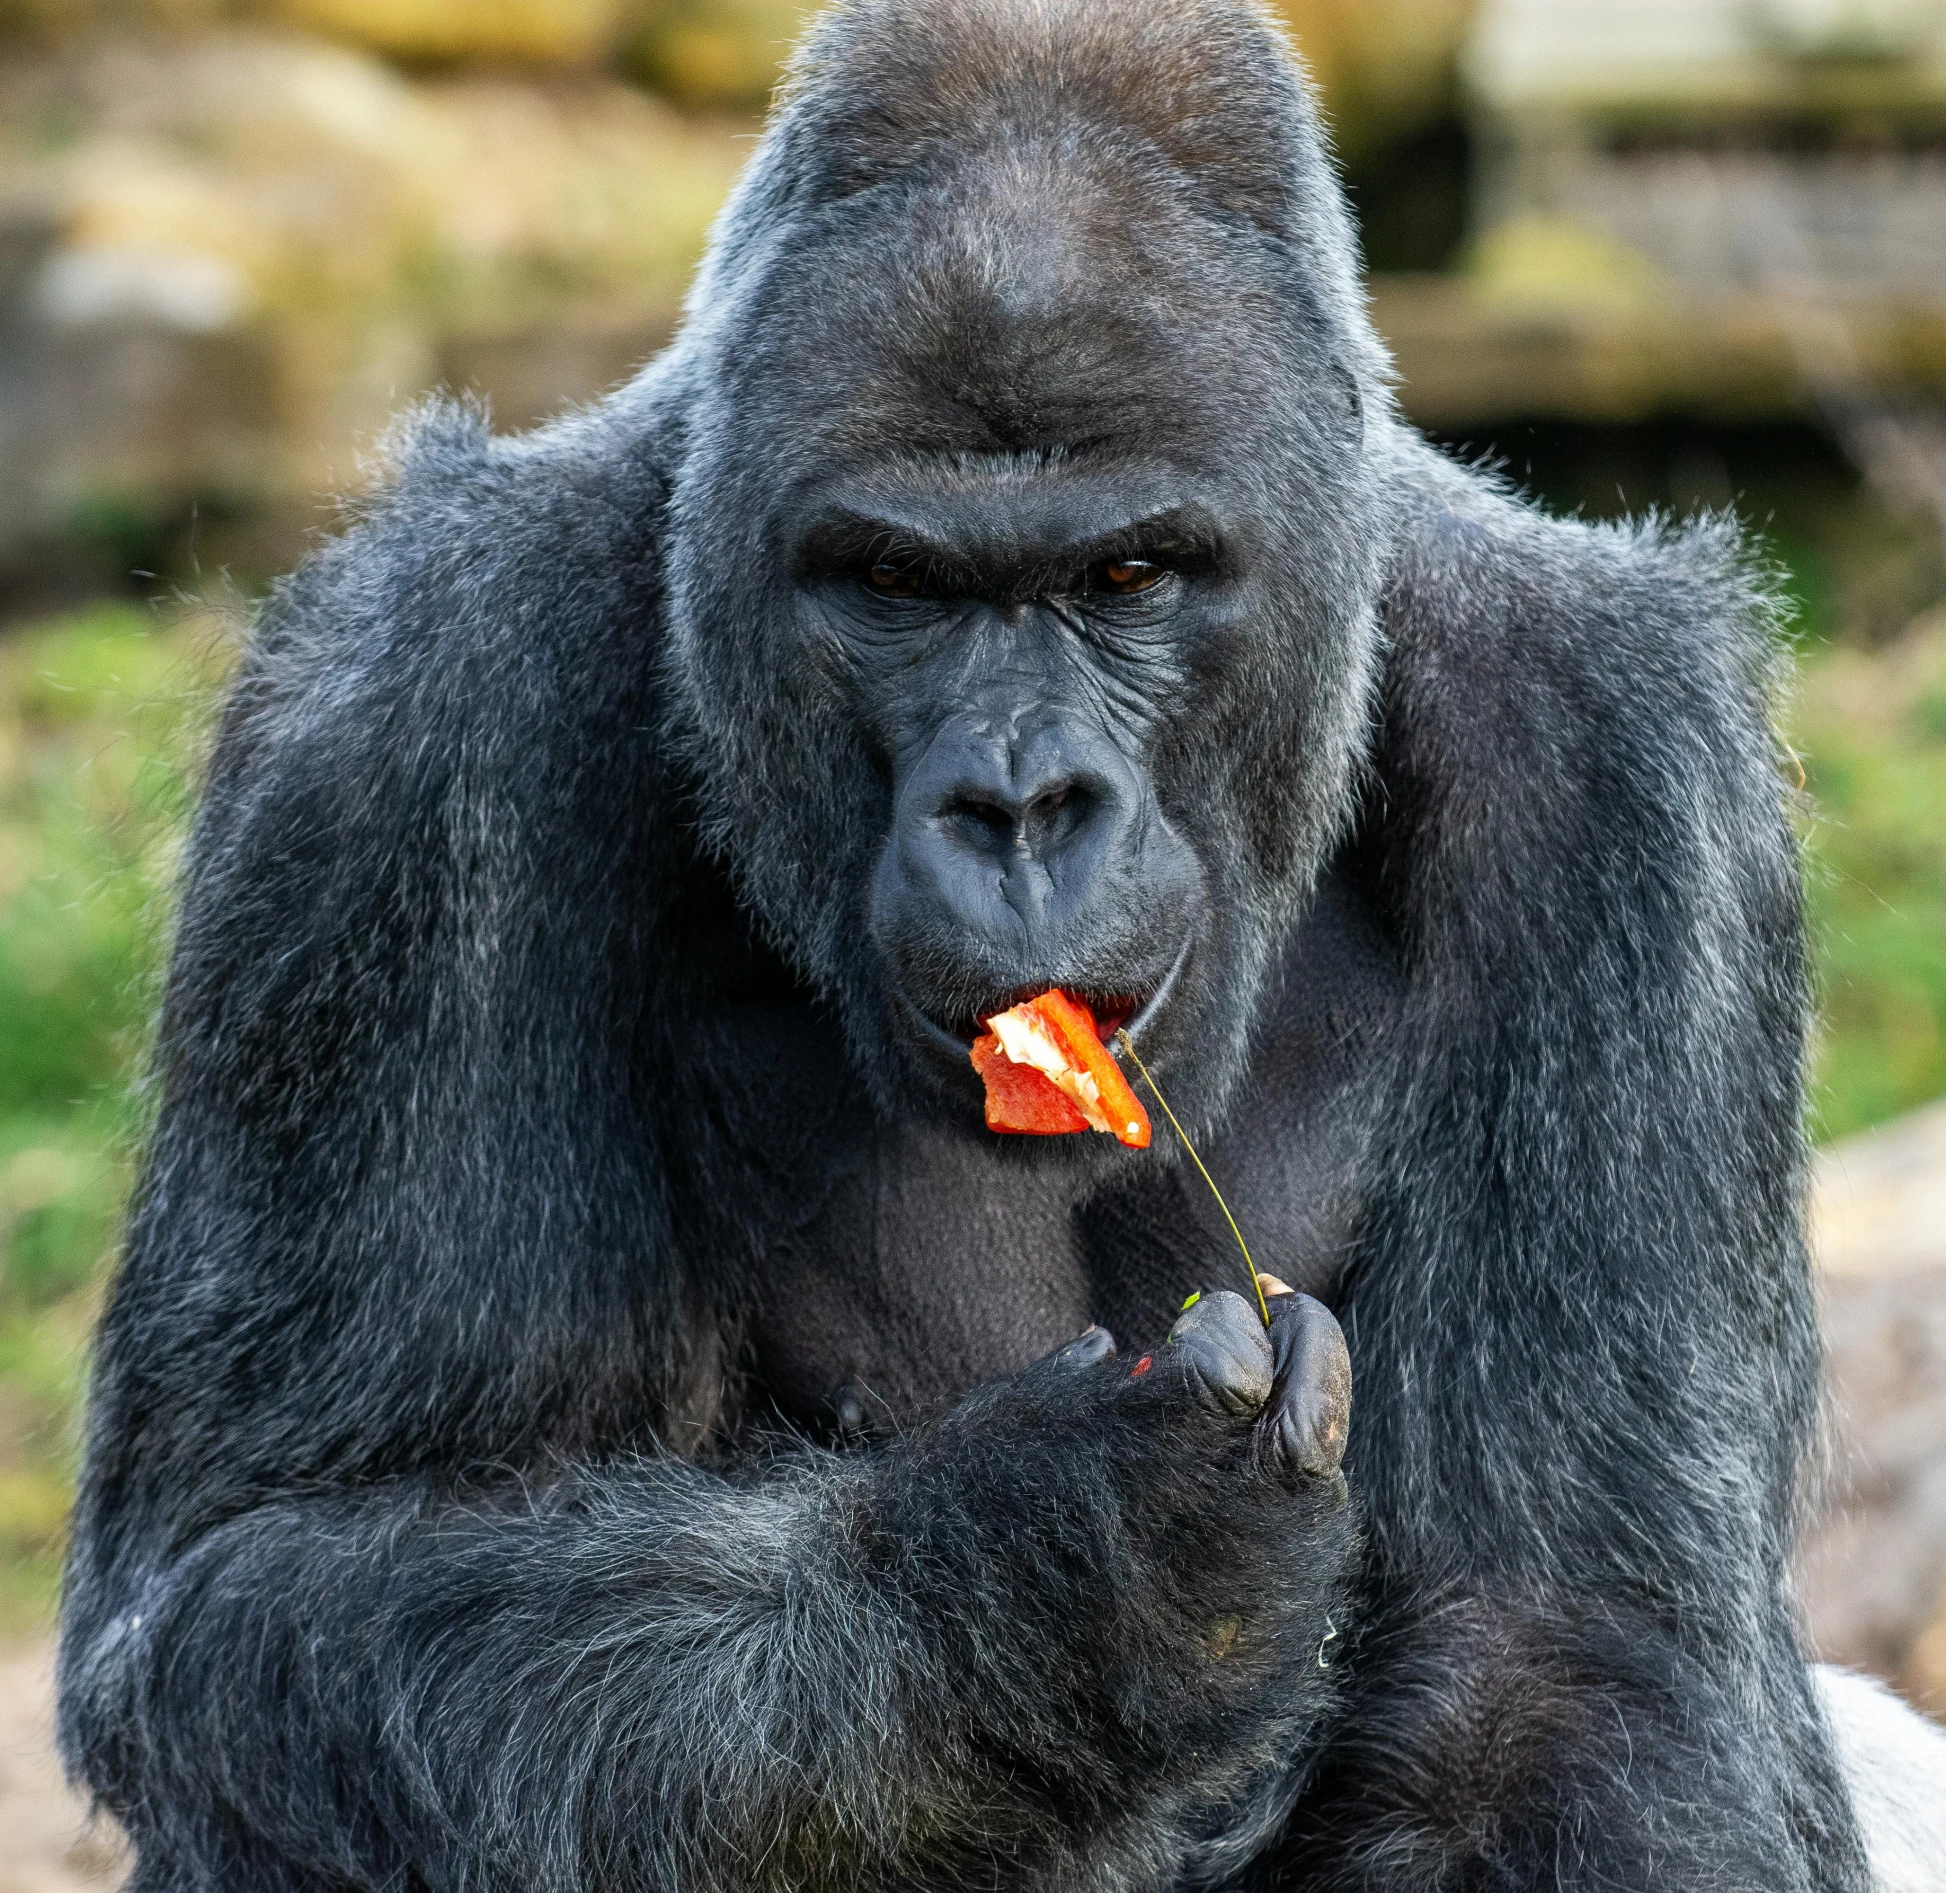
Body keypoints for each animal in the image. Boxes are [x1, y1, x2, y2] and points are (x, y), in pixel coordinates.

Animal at [60, 3, 1860, 1891]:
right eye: (897, 587)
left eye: (1131, 574)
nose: (1018, 801)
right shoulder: (400, 722)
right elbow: (262, 1572)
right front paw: (1052, 1581)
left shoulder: (1621, 759)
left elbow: (1566, 1668)